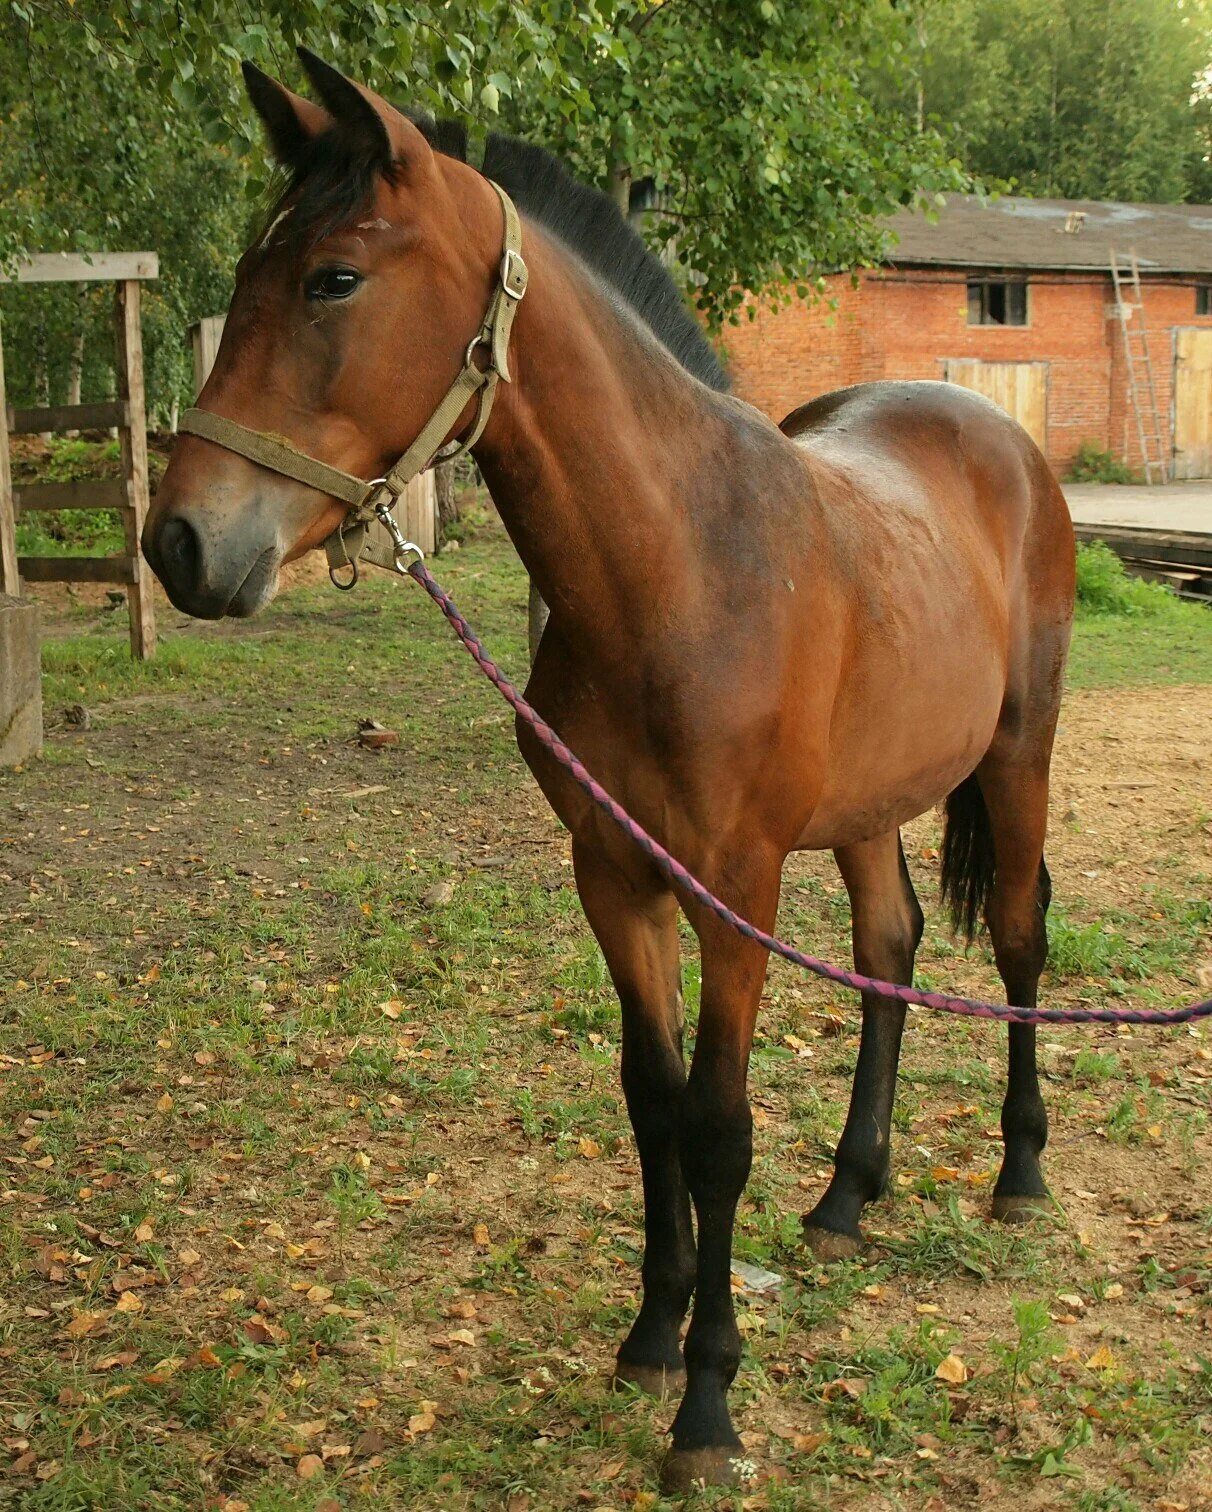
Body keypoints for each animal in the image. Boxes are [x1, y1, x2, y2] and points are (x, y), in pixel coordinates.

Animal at [142, 53, 1069, 1493]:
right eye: (250, 269)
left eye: (333, 278)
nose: (181, 542)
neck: (679, 568)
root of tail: (996, 434)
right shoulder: (613, 878)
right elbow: (653, 1102)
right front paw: (650, 1335)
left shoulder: (734, 888)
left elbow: (722, 1124)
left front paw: (708, 1409)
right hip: (869, 803)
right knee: (891, 945)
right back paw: (847, 1197)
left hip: (1019, 754)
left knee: (1020, 937)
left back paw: (1017, 1178)